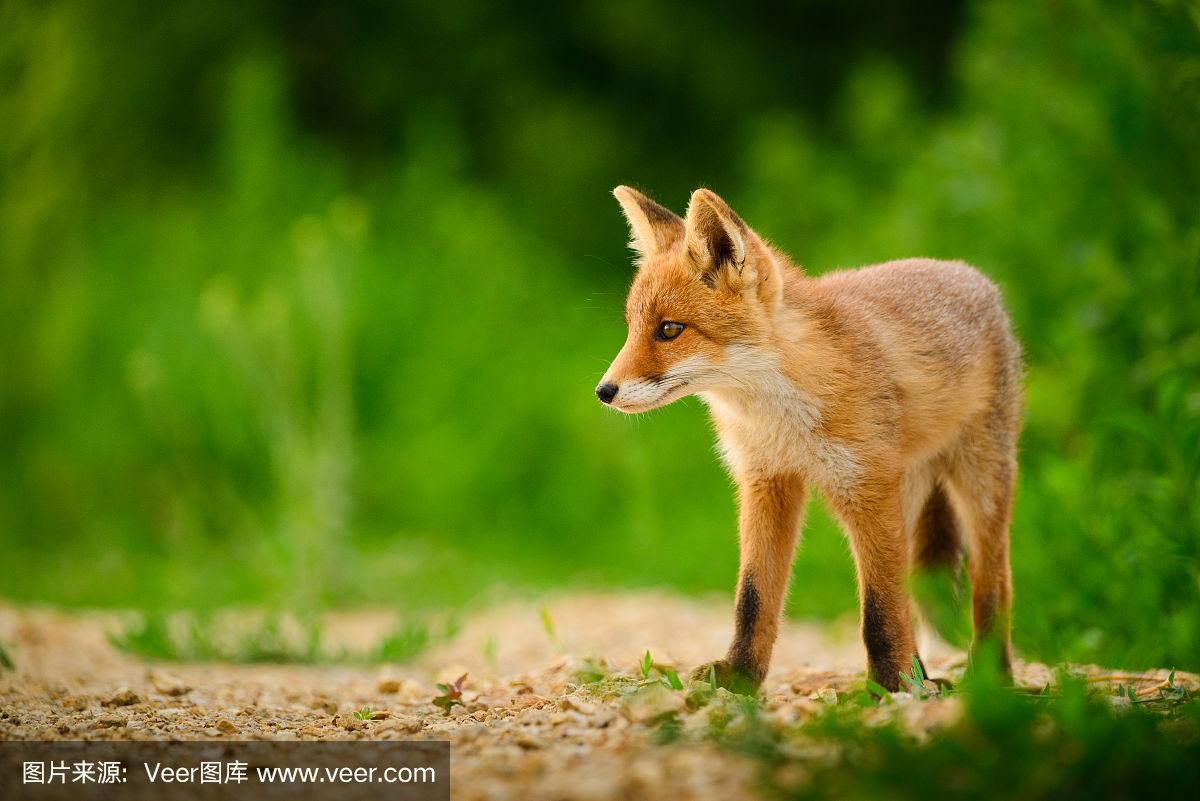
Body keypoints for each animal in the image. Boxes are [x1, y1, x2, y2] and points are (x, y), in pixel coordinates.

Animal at [597, 184, 1022, 690]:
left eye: (669, 330)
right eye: (632, 329)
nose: (604, 391)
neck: (781, 418)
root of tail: (971, 274)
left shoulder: (866, 489)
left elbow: (878, 610)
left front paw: (889, 687)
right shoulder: (767, 481)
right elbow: (754, 598)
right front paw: (740, 676)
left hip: (980, 484)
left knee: (993, 583)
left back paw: (991, 679)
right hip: (909, 498)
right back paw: (923, 675)